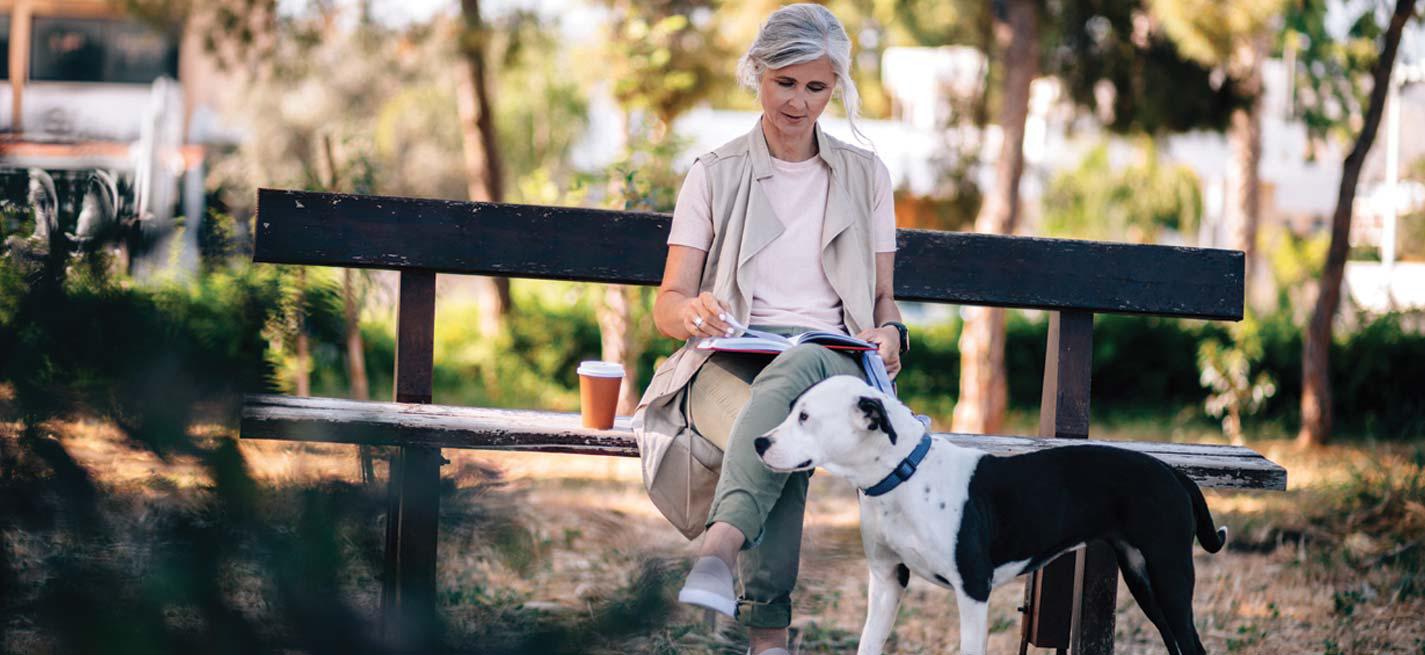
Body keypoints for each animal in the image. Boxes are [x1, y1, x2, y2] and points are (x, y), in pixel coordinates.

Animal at [752, 375, 1231, 652]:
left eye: (806, 417)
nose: (759, 442)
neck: (903, 475)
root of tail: (1173, 473)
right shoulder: (887, 581)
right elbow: (868, 644)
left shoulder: (972, 591)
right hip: (1143, 578)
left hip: (1169, 576)